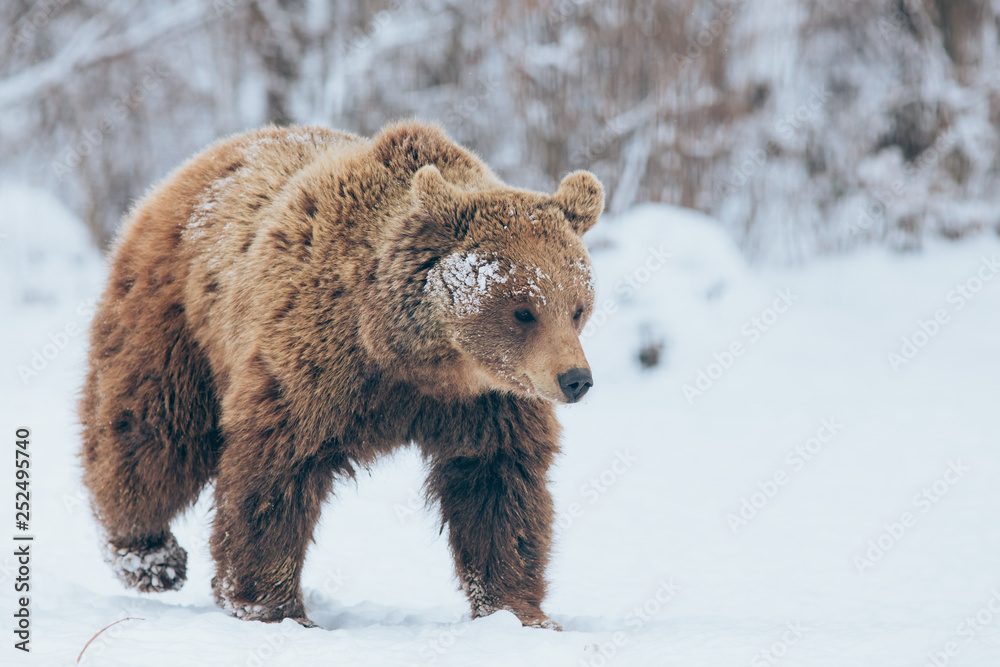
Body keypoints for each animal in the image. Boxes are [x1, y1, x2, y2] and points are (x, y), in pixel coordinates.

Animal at [79, 120, 604, 629]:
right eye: (523, 310)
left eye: (577, 308)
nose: (575, 379)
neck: (417, 361)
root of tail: (200, 160)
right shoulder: (314, 363)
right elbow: (274, 474)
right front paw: (269, 605)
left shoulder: (489, 403)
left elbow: (498, 485)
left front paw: (519, 612)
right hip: (177, 318)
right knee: (151, 434)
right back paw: (149, 556)